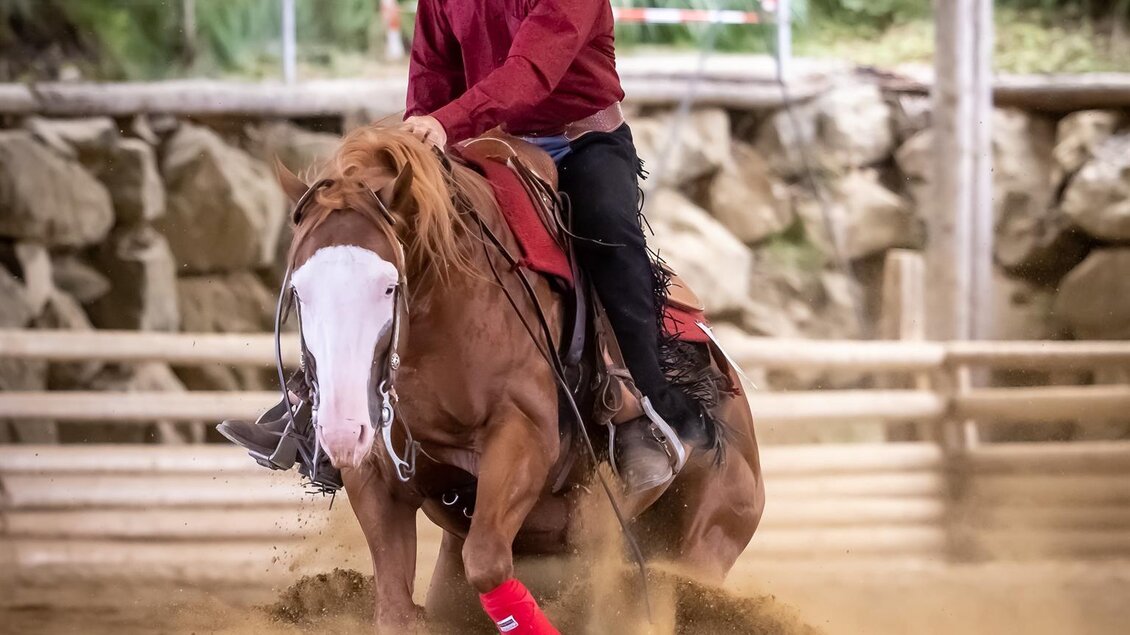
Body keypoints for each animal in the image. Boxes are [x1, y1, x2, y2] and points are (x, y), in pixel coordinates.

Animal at [272, 123, 765, 632]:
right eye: (299, 291)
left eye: (389, 287)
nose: (342, 430)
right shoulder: (374, 475)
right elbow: (394, 607)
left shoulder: (523, 436)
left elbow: (487, 561)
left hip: (702, 542)